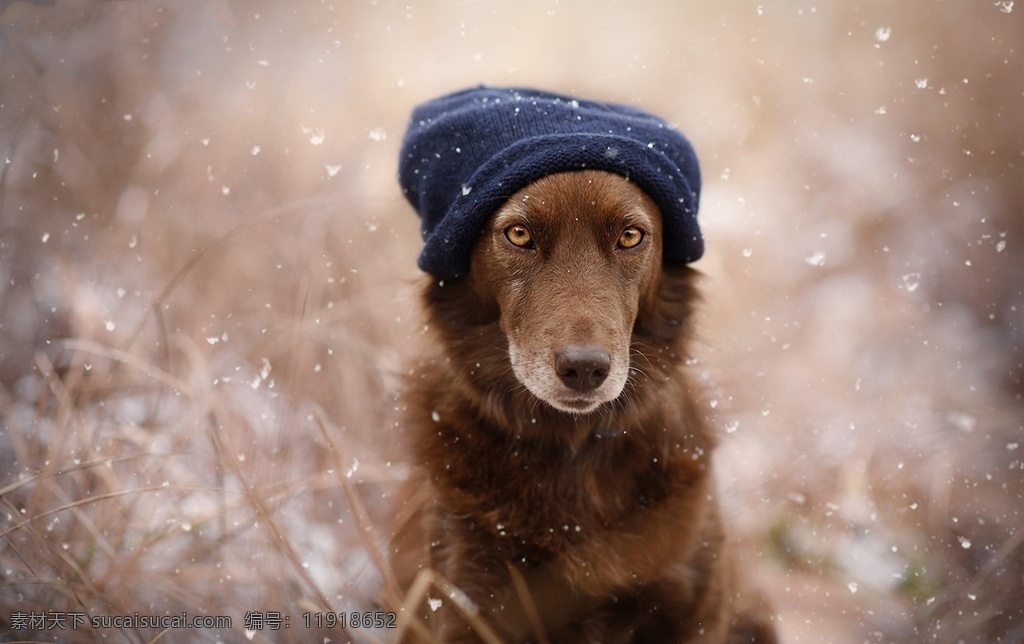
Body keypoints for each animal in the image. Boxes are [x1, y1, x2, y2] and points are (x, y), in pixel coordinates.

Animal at [391, 167, 774, 638]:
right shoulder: (464, 598)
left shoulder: (695, 604)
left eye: (630, 236)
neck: (573, 449)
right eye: (518, 234)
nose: (585, 368)